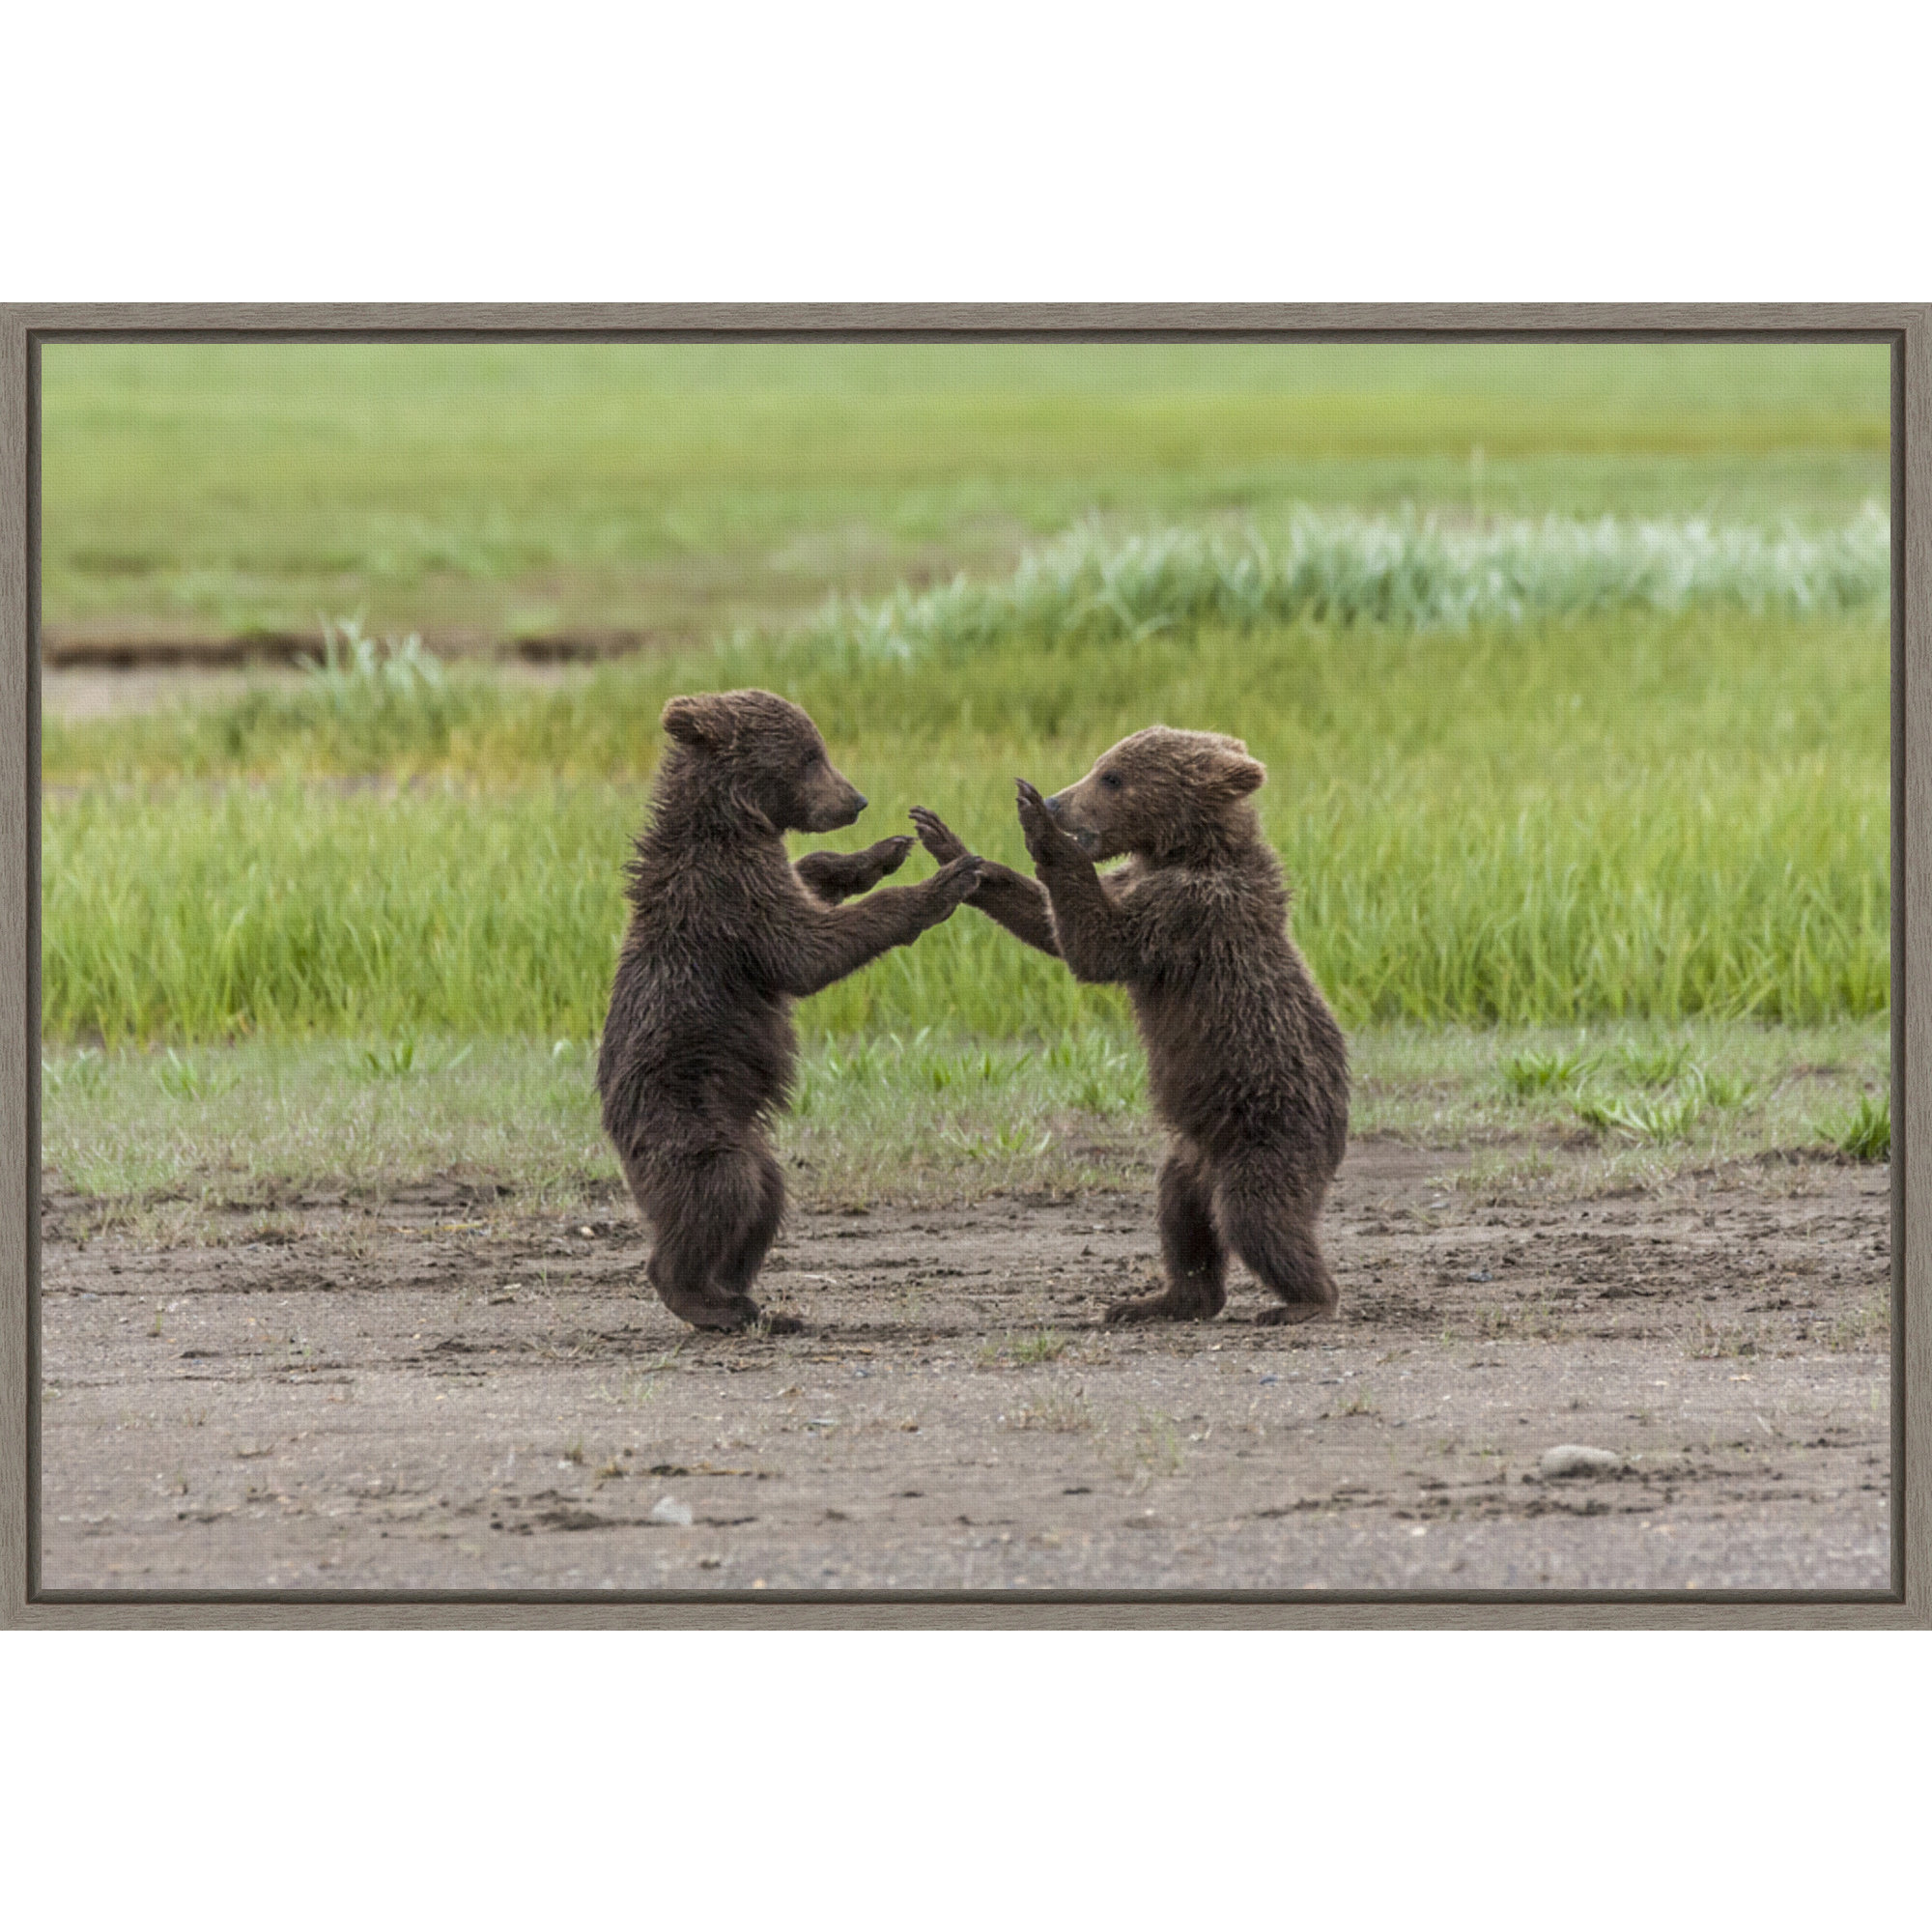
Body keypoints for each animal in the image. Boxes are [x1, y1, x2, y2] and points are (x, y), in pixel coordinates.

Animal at [598, 689, 984, 1332]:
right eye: (809, 756)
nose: (856, 801)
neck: (733, 820)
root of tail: (620, 1143)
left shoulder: (760, 871)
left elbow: (807, 883)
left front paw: (883, 853)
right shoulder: (730, 895)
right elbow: (806, 951)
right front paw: (945, 881)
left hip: (736, 1129)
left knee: (766, 1194)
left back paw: (741, 1293)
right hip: (688, 1119)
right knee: (721, 1190)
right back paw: (709, 1301)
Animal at [911, 726, 1348, 1325]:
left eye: (1112, 777)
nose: (1057, 801)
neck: (1185, 851)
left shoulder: (1186, 915)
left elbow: (1098, 945)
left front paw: (1037, 824)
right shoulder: (1137, 883)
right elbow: (1049, 923)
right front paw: (951, 849)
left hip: (1270, 1133)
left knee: (1257, 1218)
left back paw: (1304, 1301)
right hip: (1190, 1157)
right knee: (1181, 1219)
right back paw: (1161, 1300)